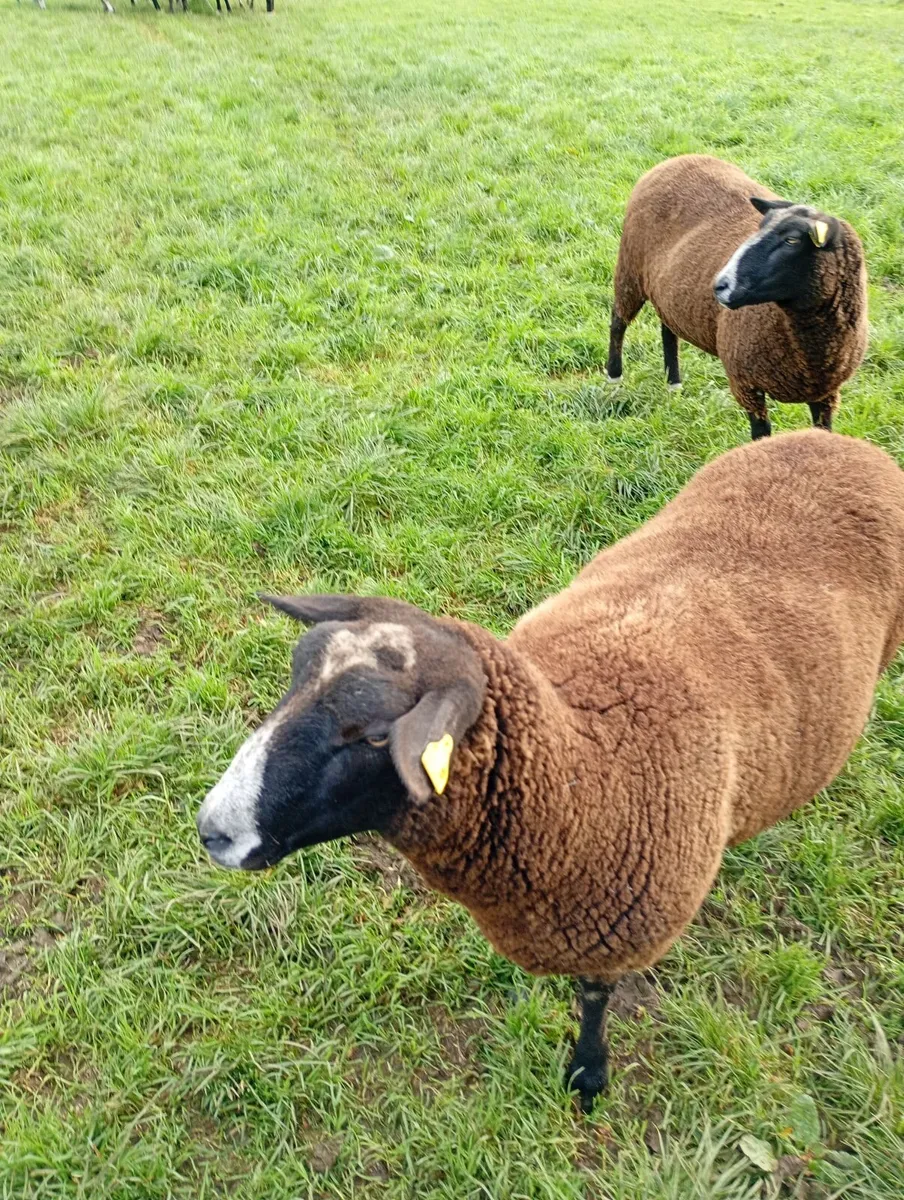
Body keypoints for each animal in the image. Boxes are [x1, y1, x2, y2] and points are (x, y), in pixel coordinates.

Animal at [196, 430, 904, 1112]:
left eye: (375, 736)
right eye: (295, 678)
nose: (212, 830)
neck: (585, 768)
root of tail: (832, 440)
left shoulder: (616, 933)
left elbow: (594, 1000)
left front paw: (588, 1076)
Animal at [606, 154, 868, 440]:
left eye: (792, 240)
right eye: (759, 227)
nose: (719, 285)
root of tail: (678, 159)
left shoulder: (827, 392)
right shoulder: (746, 385)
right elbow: (761, 436)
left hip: (668, 290)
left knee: (668, 329)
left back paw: (673, 384)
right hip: (630, 269)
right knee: (618, 321)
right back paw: (614, 380)